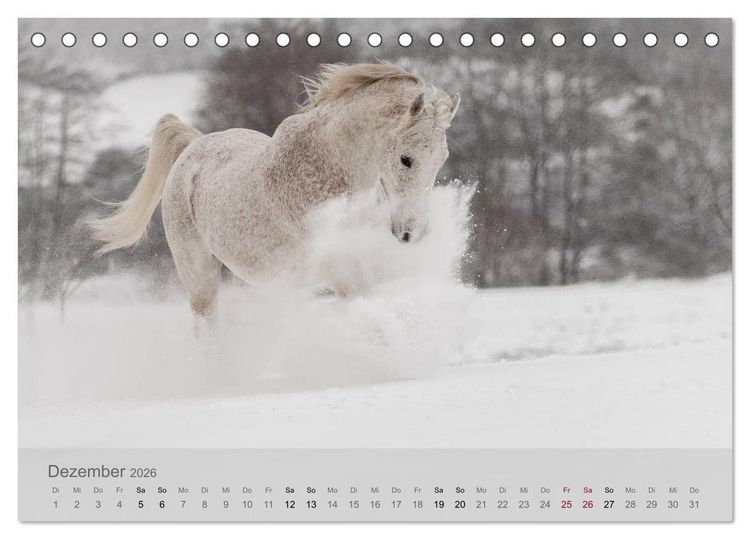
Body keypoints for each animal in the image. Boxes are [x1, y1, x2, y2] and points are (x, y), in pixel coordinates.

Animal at [88, 63, 460, 325]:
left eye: (442, 159)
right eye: (405, 159)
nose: (411, 233)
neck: (329, 168)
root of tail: (194, 146)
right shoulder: (336, 264)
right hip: (199, 276)